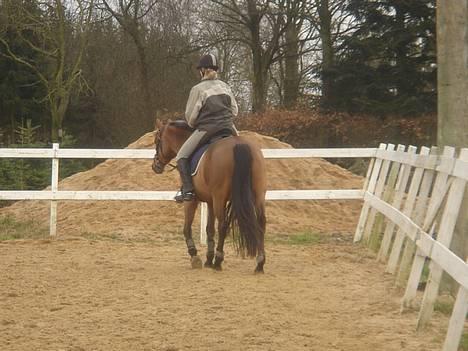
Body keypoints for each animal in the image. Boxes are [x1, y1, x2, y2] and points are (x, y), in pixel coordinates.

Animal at [151, 119, 266, 274]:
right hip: (258, 195)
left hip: (220, 197)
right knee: (261, 222)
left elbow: (186, 228)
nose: (155, 165)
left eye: (157, 140)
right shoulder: (210, 201)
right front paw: (208, 259)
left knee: (223, 225)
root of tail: (239, 144)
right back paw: (259, 263)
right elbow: (209, 229)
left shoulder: (192, 200)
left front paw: (195, 256)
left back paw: (218, 261)